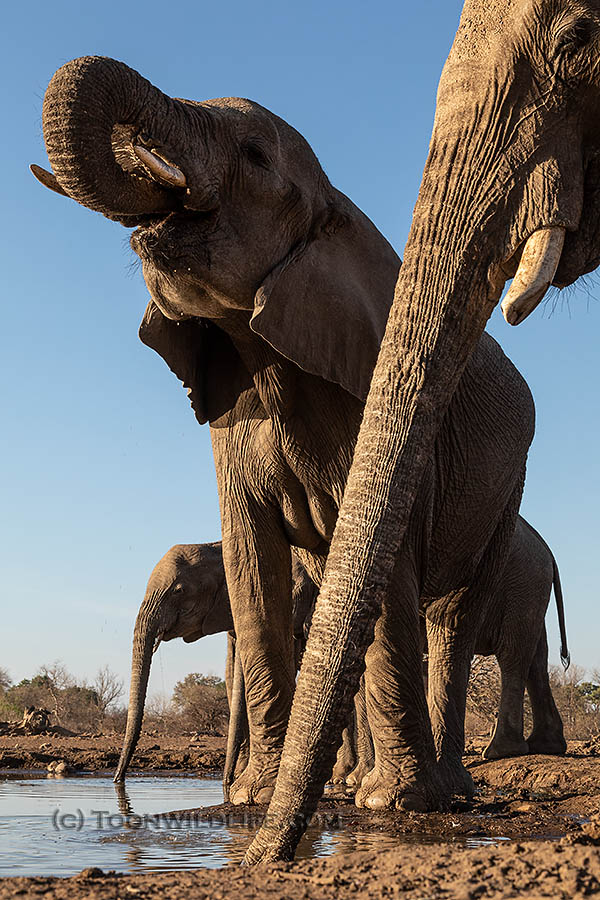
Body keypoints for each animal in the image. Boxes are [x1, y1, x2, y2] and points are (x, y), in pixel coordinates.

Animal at [33, 57, 534, 820]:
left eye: (254, 156)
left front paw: (390, 804)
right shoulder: (232, 418)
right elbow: (251, 558)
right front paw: (252, 797)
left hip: (511, 487)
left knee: (452, 618)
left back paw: (444, 790)